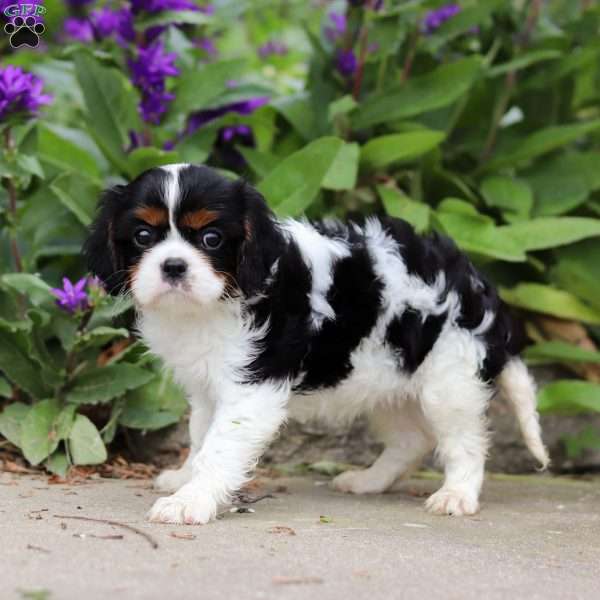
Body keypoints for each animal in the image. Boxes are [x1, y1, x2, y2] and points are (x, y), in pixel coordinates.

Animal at [84, 164, 548, 524]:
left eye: (211, 239)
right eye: (143, 236)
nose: (173, 266)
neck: (214, 305)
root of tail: (476, 283)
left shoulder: (251, 389)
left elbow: (219, 447)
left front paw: (191, 499)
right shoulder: (206, 387)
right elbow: (200, 437)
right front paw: (186, 477)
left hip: (449, 379)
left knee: (465, 442)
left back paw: (457, 495)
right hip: (386, 381)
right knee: (410, 440)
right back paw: (369, 481)